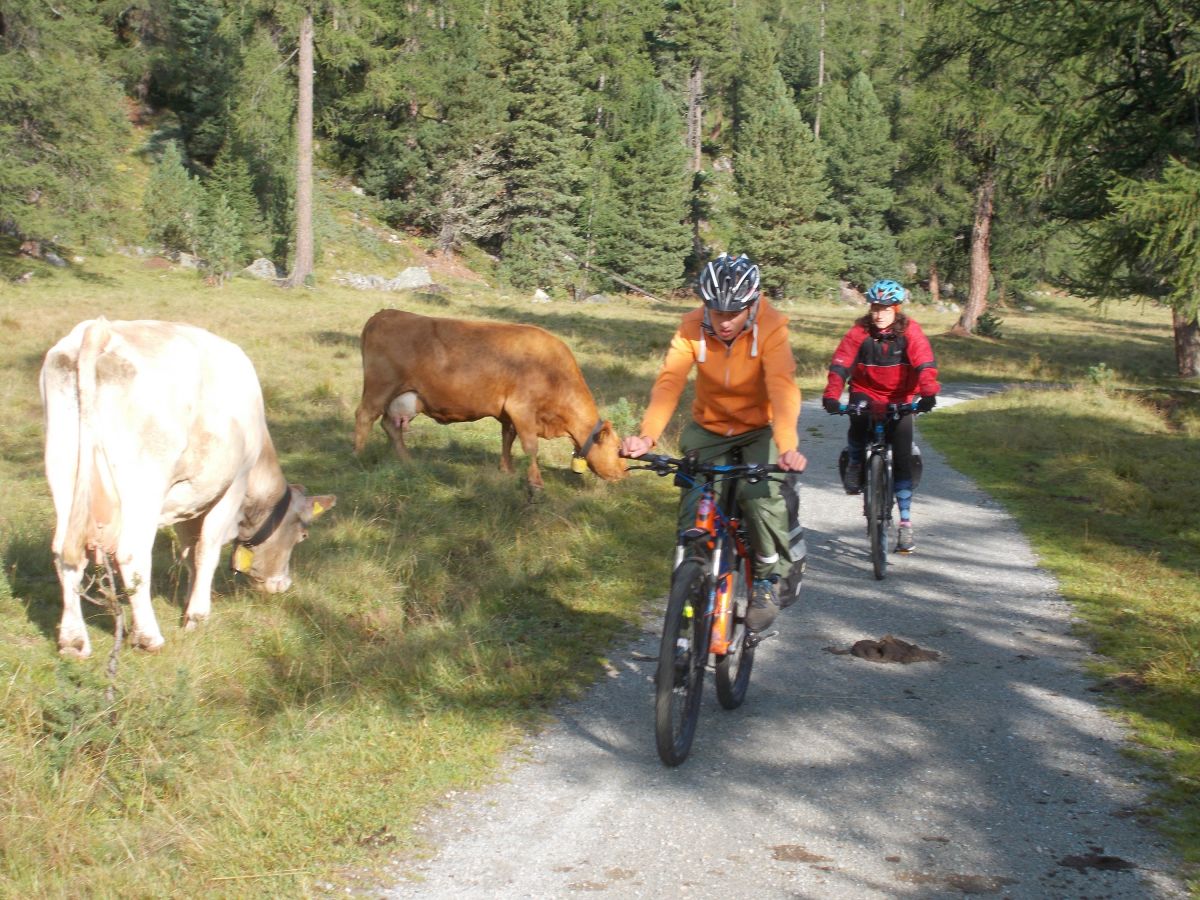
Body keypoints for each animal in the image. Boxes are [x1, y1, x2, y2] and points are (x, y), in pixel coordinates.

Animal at [350, 312, 624, 494]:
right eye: (617, 449)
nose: (623, 472)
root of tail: (385, 314)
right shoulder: (522, 408)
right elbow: (531, 447)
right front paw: (535, 482)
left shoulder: (508, 414)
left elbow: (507, 440)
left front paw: (507, 470)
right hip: (379, 387)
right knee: (364, 416)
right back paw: (359, 456)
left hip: (404, 397)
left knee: (390, 425)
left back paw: (408, 462)